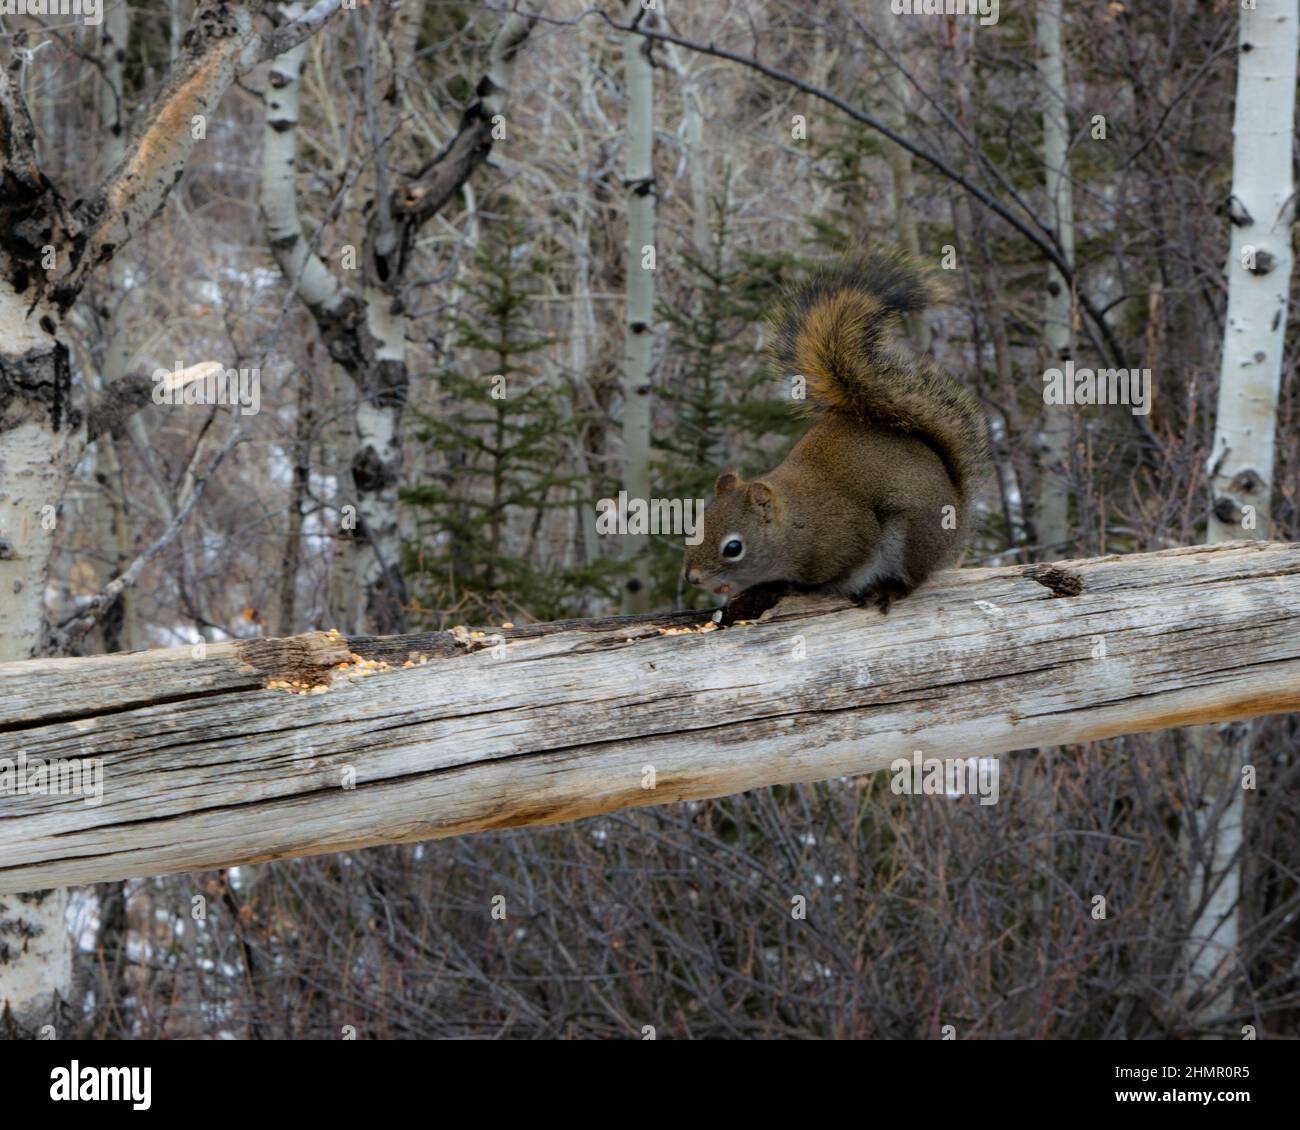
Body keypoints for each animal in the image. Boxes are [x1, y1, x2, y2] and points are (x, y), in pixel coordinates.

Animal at [682, 250, 989, 620]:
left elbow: (838, 569)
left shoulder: (845, 537)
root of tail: (958, 512)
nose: (692, 577)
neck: (792, 525)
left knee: (911, 578)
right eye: (697, 524)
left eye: (733, 548)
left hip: (911, 535)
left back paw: (887, 588)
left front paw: (791, 586)